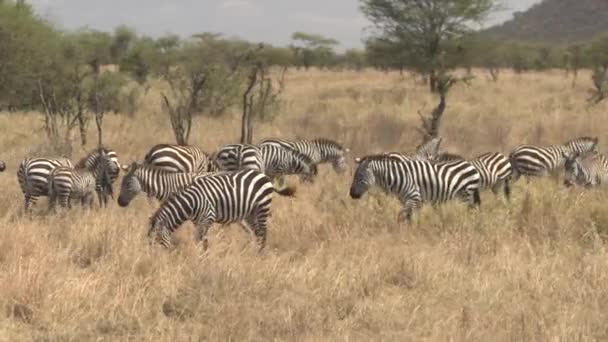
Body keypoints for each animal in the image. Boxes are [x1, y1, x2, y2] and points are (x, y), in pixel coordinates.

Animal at [350, 154, 482, 223]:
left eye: (359, 177)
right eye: (355, 176)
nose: (351, 194)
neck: (398, 177)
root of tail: (469, 165)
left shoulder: (414, 198)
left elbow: (401, 215)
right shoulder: (409, 201)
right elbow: (408, 217)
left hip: (465, 196)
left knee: (467, 213)